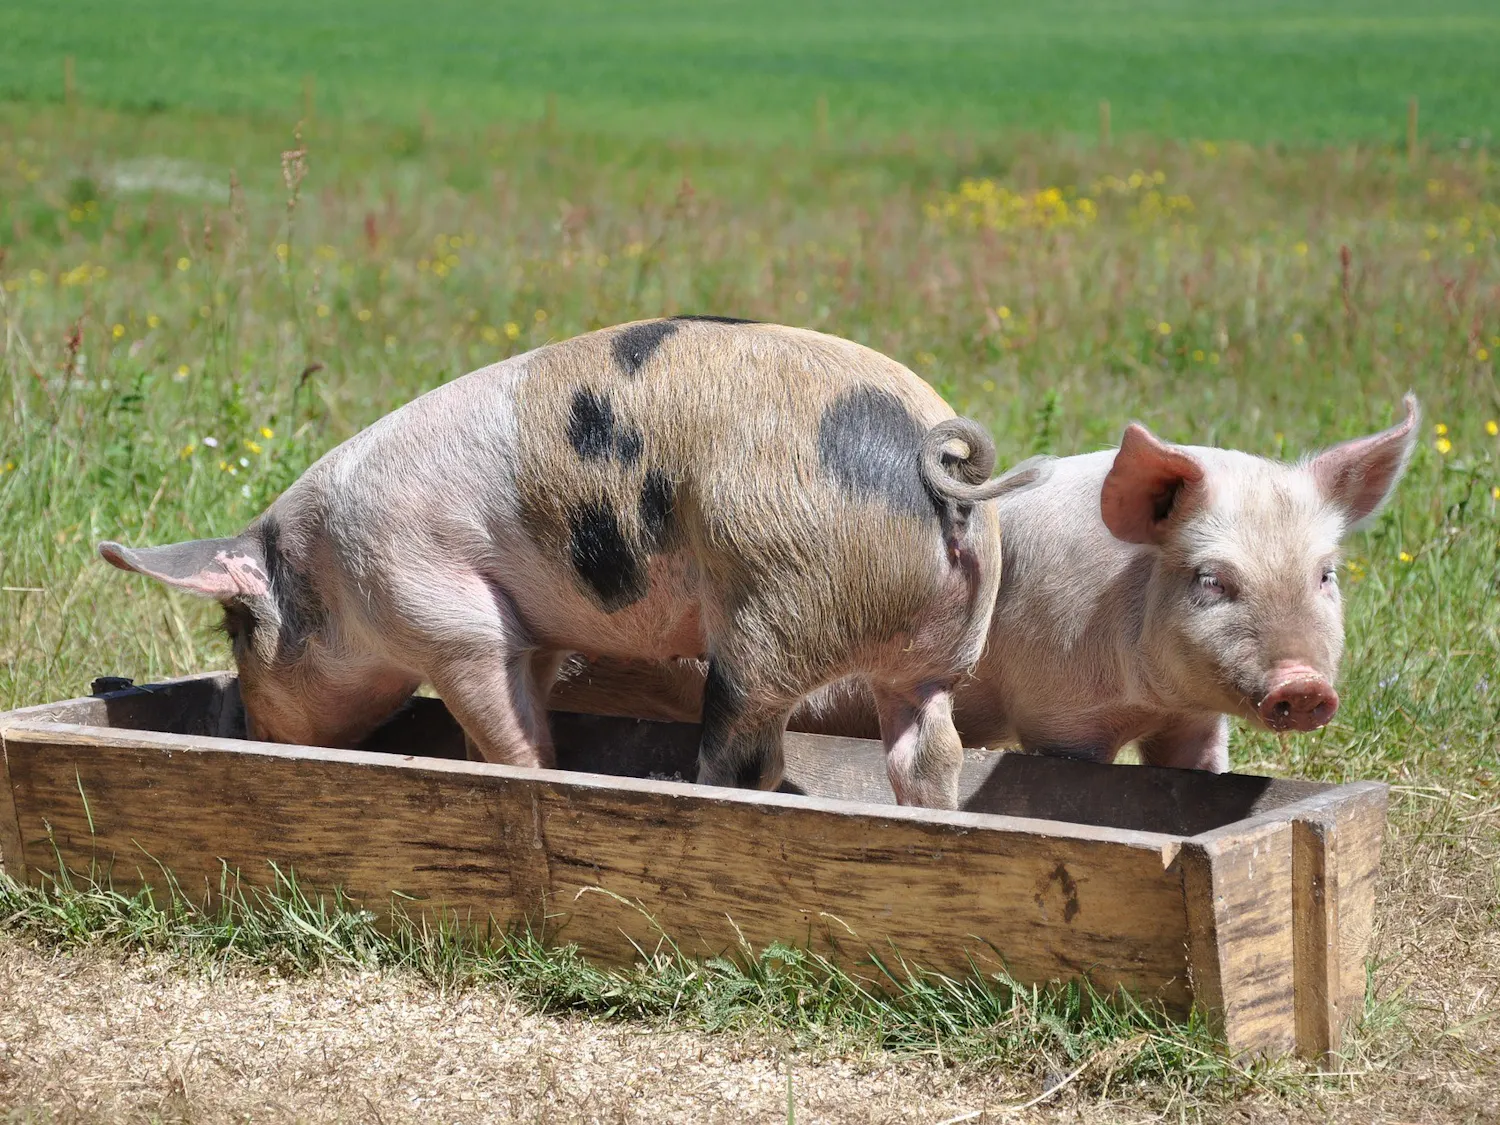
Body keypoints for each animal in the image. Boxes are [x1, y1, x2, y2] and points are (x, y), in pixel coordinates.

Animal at [99, 318, 1041, 808]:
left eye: (236, 628)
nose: (255, 730)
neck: (329, 570)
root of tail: (937, 464)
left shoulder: (445, 614)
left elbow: (507, 727)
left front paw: (527, 779)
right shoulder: (538, 629)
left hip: (775, 607)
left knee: (750, 753)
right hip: (934, 655)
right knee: (928, 749)